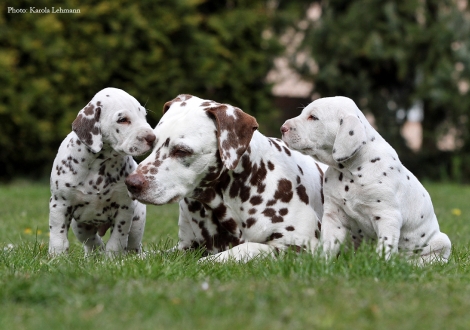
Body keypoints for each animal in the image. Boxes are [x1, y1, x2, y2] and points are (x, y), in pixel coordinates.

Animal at [49, 87, 156, 255]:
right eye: (123, 119)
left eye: (144, 116)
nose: (152, 138)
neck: (100, 164)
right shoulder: (60, 204)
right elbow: (58, 238)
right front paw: (57, 256)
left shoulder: (124, 208)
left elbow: (117, 241)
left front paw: (113, 258)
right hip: (80, 227)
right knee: (92, 242)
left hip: (137, 222)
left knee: (132, 245)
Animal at [124, 94, 324, 262]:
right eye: (152, 143)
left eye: (181, 151)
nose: (131, 183)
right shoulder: (184, 247)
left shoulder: (298, 248)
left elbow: (242, 249)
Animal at [280, 95, 450, 262]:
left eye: (313, 117)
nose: (283, 128)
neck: (349, 171)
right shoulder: (334, 216)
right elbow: (328, 245)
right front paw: (322, 263)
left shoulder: (388, 216)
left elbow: (385, 247)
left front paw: (381, 265)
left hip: (442, 242)